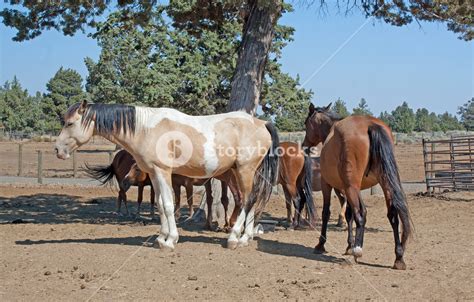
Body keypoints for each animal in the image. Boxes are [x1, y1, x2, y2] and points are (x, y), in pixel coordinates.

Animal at [56, 101, 280, 250]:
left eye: (70, 123)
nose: (58, 149)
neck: (146, 129)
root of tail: (261, 123)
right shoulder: (155, 174)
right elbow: (161, 205)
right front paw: (162, 238)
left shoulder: (163, 171)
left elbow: (169, 205)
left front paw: (170, 241)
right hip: (249, 172)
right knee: (252, 200)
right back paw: (246, 237)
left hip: (244, 170)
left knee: (247, 200)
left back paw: (234, 239)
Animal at [304, 103, 412, 268]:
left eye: (306, 124)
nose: (304, 145)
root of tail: (371, 125)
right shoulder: (349, 188)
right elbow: (349, 214)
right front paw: (349, 245)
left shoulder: (328, 185)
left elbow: (326, 213)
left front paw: (321, 245)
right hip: (383, 184)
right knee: (392, 215)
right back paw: (398, 257)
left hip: (352, 187)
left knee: (360, 215)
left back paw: (358, 250)